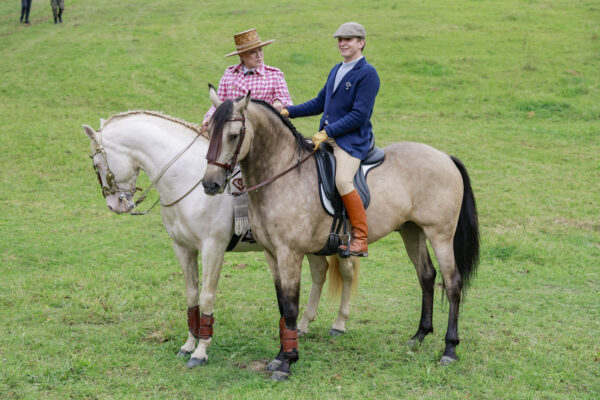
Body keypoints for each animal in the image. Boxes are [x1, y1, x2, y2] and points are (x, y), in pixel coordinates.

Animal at [80, 111, 356, 368]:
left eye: (96, 163)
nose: (114, 204)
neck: (187, 179)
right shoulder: (183, 248)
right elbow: (191, 295)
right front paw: (188, 345)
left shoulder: (213, 248)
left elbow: (206, 296)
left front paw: (201, 351)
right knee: (320, 272)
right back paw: (304, 324)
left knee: (347, 272)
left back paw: (339, 323)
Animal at [204, 88, 480, 382]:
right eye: (209, 130)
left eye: (234, 135)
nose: (210, 184)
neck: (282, 175)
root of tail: (445, 157)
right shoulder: (271, 254)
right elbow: (282, 306)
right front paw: (280, 357)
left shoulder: (290, 253)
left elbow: (290, 307)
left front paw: (287, 362)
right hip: (412, 231)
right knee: (426, 276)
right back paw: (419, 336)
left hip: (440, 234)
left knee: (452, 283)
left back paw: (449, 349)